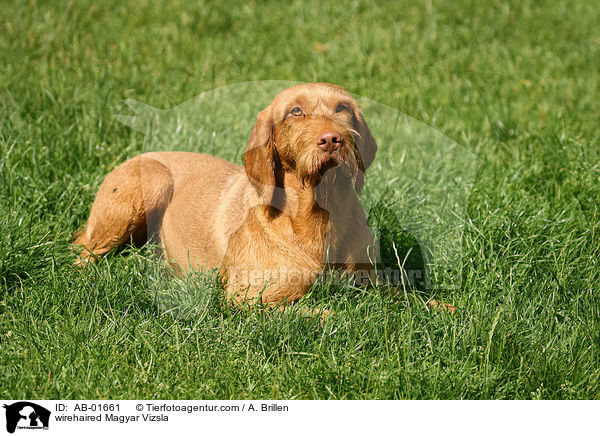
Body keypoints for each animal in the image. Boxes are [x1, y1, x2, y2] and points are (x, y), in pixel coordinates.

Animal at [72, 82, 378, 306]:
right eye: (295, 111)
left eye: (342, 108)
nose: (332, 139)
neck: (319, 214)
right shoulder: (249, 299)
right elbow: (324, 313)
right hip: (152, 181)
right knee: (82, 251)